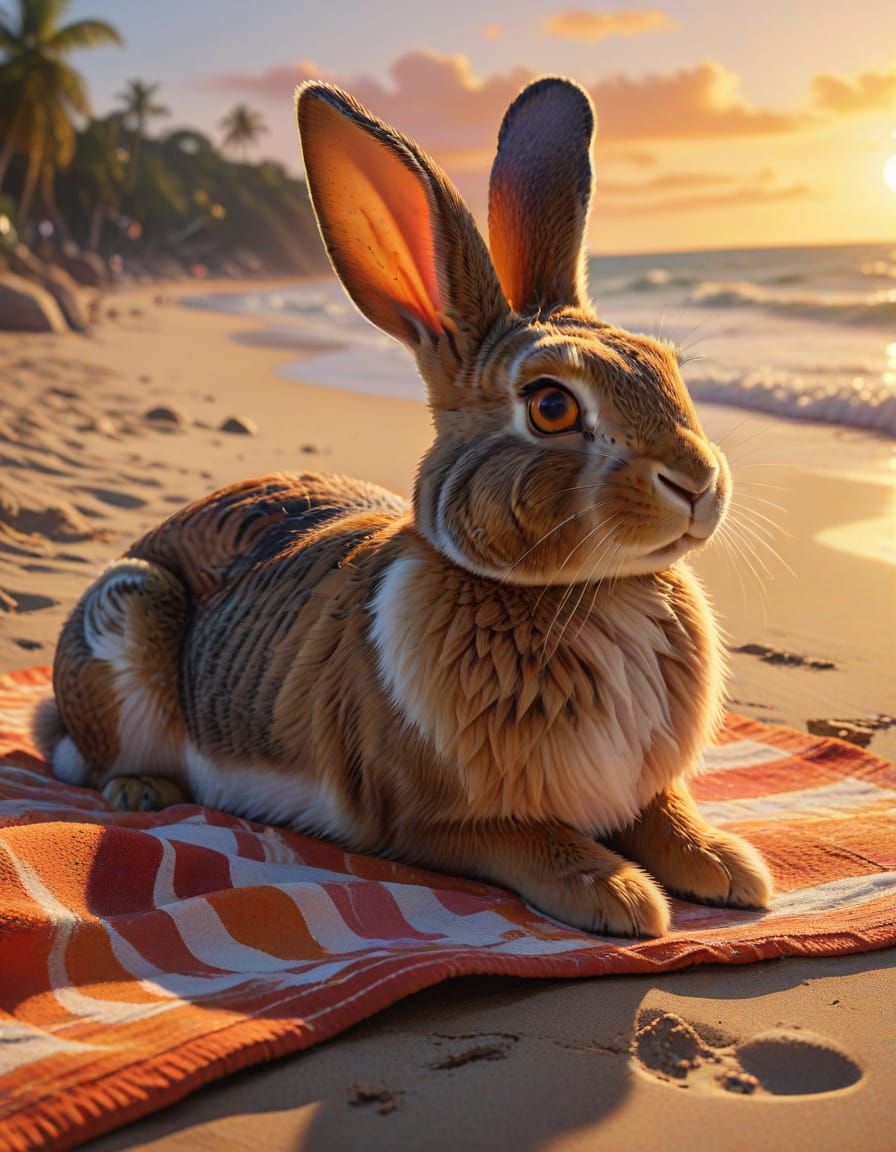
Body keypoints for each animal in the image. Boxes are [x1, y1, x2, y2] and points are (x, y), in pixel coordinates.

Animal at [34, 76, 773, 937]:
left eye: (669, 367)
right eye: (551, 405)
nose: (697, 480)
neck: (586, 592)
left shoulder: (643, 787)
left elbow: (665, 814)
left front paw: (729, 867)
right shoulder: (427, 821)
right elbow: (530, 839)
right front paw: (618, 895)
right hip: (129, 609)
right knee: (84, 757)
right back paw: (141, 790)